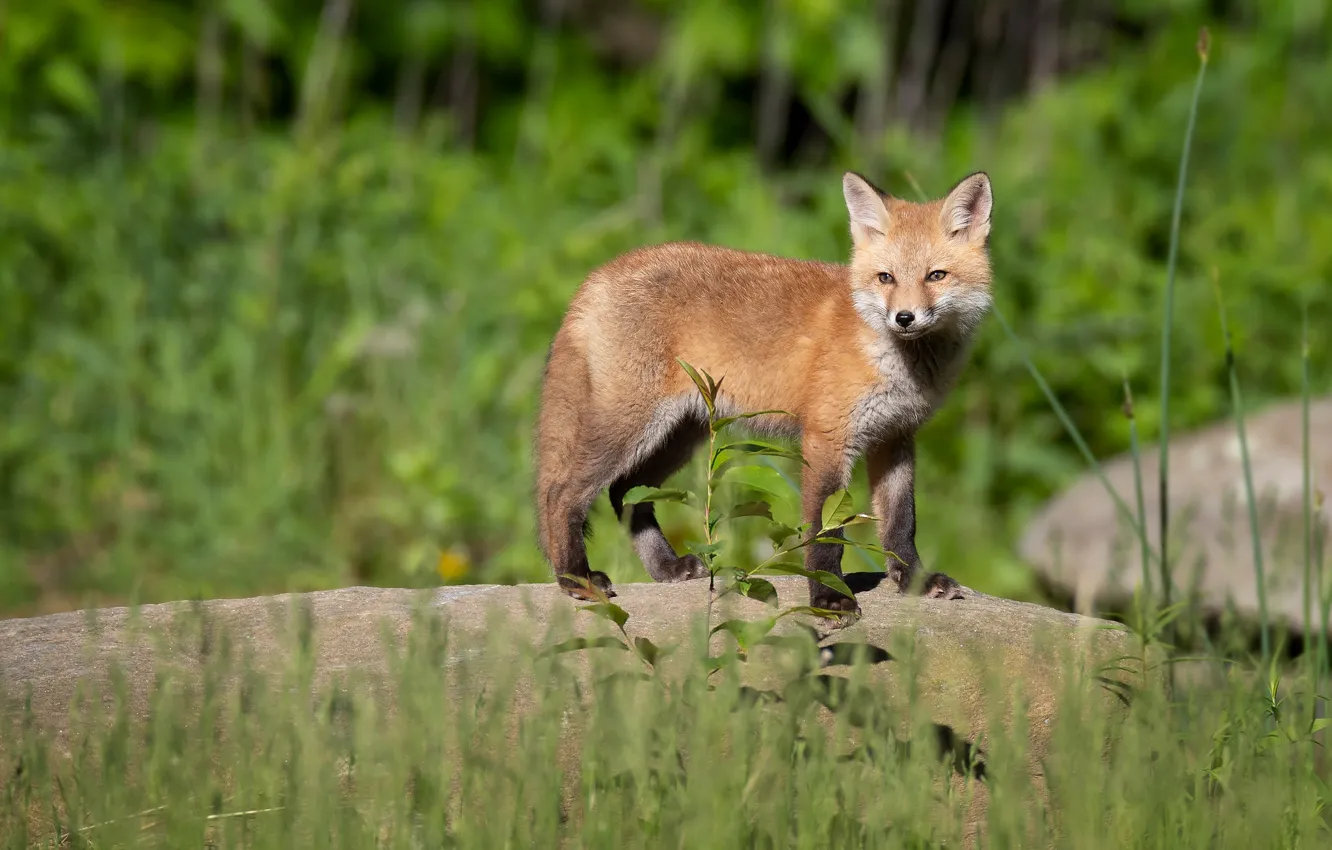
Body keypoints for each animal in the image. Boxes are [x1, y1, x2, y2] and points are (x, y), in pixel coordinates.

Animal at [534, 170, 994, 616]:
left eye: (936, 276)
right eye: (886, 278)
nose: (904, 317)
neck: (897, 361)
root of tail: (601, 272)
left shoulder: (895, 437)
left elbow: (902, 524)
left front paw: (916, 582)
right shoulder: (827, 439)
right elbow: (824, 533)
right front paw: (829, 600)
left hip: (679, 434)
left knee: (625, 492)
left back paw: (665, 567)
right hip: (630, 426)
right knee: (562, 494)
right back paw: (576, 578)